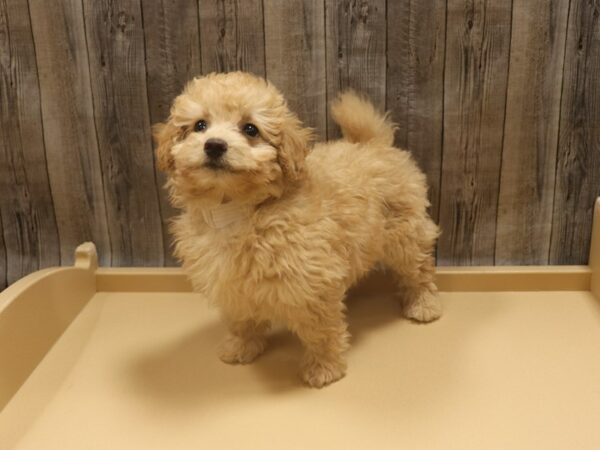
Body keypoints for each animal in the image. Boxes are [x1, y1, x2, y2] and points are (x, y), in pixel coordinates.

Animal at [155, 72, 440, 388]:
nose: (214, 145)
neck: (238, 209)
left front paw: (324, 368)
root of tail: (373, 144)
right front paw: (242, 347)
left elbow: (321, 331)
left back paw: (423, 304)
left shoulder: (313, 286)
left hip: (405, 234)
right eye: (200, 126)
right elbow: (242, 319)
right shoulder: (232, 284)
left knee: (418, 269)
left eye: (250, 129)